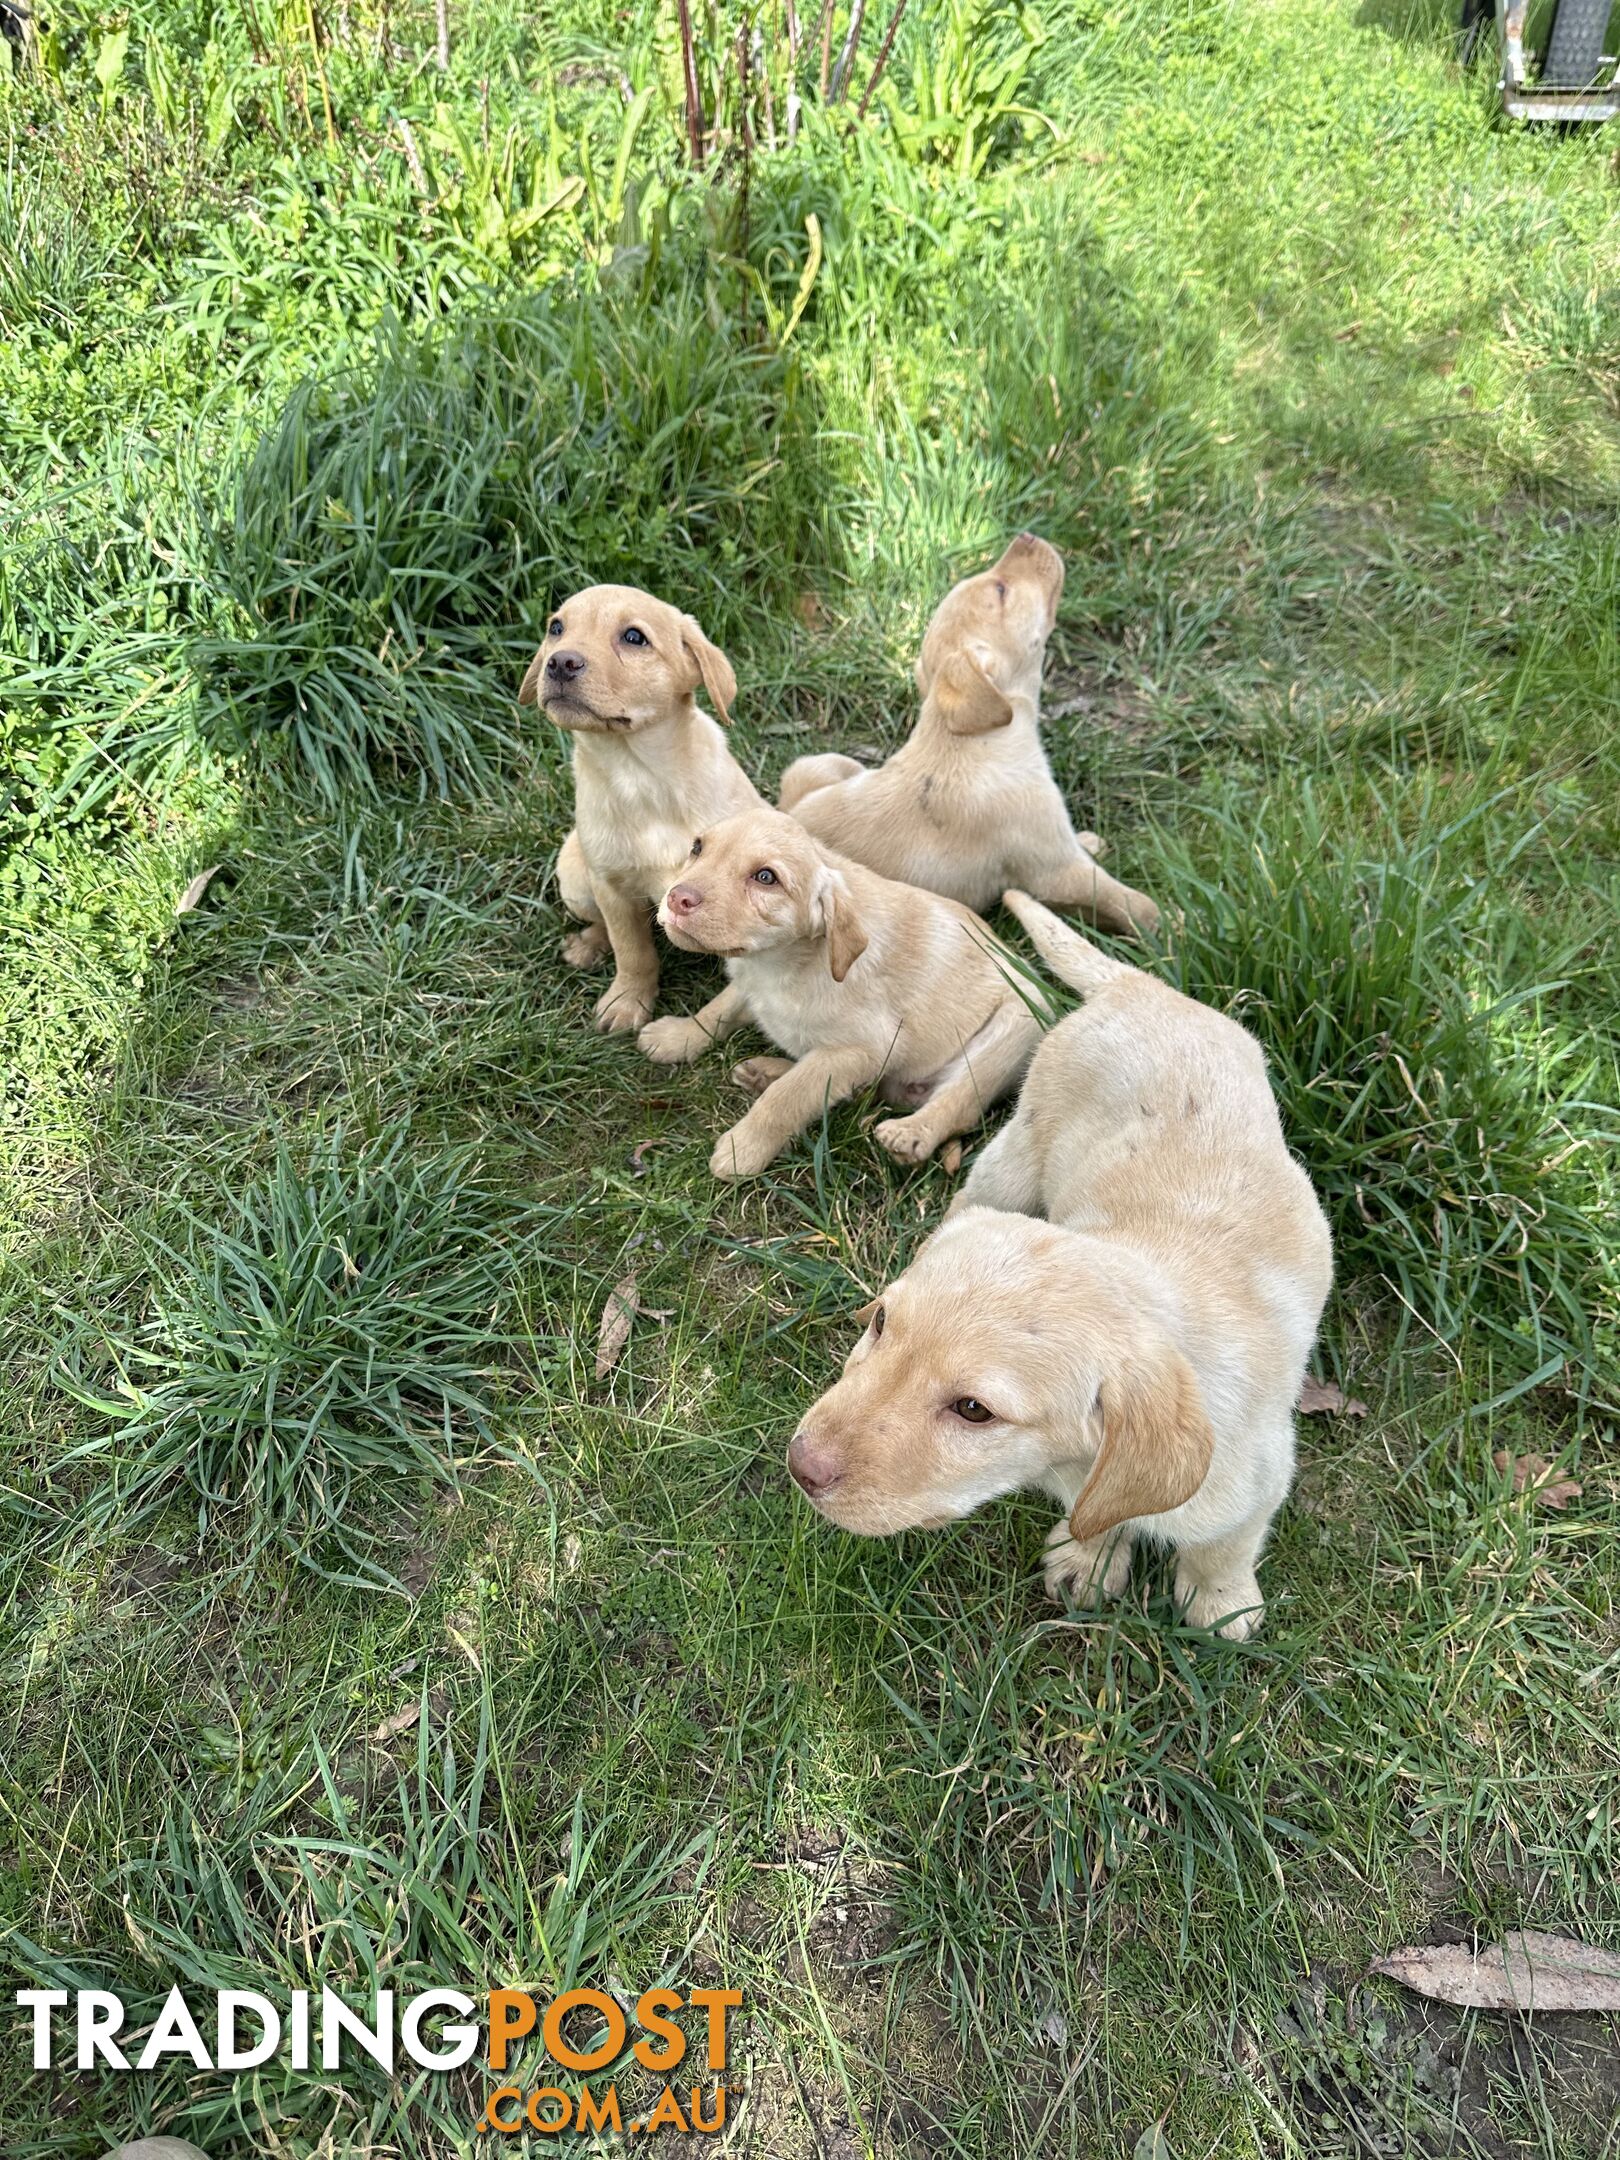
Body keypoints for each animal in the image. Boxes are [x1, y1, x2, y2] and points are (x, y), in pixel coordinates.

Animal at [520, 587, 760, 1032]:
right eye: (556, 628)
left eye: (634, 638)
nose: (559, 661)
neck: (640, 775)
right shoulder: (612, 887)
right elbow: (632, 950)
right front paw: (628, 1002)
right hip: (576, 878)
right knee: (601, 923)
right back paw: (587, 944)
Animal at [639, 803, 1045, 1183]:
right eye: (697, 848)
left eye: (766, 878)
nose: (676, 899)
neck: (781, 964)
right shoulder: (749, 985)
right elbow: (715, 1012)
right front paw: (676, 1036)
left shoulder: (866, 1047)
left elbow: (789, 1096)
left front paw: (745, 1147)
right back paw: (765, 1071)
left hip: (1012, 1030)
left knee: (959, 1101)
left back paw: (911, 1133)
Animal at [781, 533, 1157, 937]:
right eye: (1001, 589)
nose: (1025, 536)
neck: (974, 737)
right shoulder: (1057, 871)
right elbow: (1130, 901)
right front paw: (1174, 925)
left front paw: (1089, 840)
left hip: (821, 766)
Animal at [786, 885, 1330, 1624]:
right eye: (882, 1326)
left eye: (974, 1411)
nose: (800, 1464)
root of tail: (1141, 987)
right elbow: (1098, 1515)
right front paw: (1089, 1559)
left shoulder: (1260, 1480)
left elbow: (1223, 1545)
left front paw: (1222, 1603)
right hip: (1013, 1154)